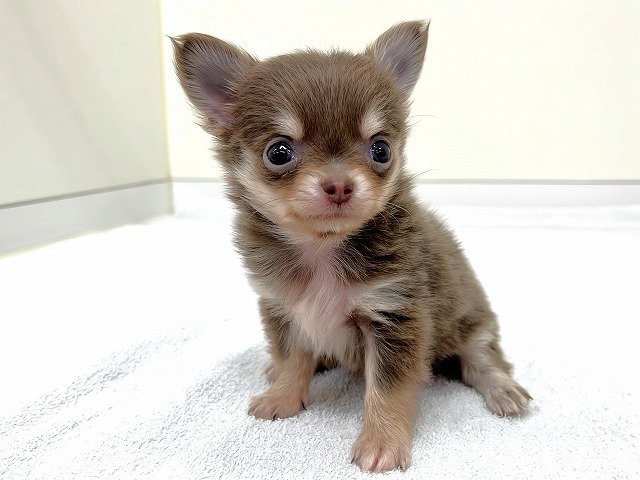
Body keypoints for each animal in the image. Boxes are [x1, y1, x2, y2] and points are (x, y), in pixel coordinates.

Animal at [172, 20, 531, 472]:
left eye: (381, 149)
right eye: (279, 152)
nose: (340, 184)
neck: (322, 249)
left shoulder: (395, 316)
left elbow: (387, 390)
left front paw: (382, 444)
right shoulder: (283, 309)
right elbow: (291, 359)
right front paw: (282, 399)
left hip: (471, 323)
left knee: (482, 359)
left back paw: (505, 391)